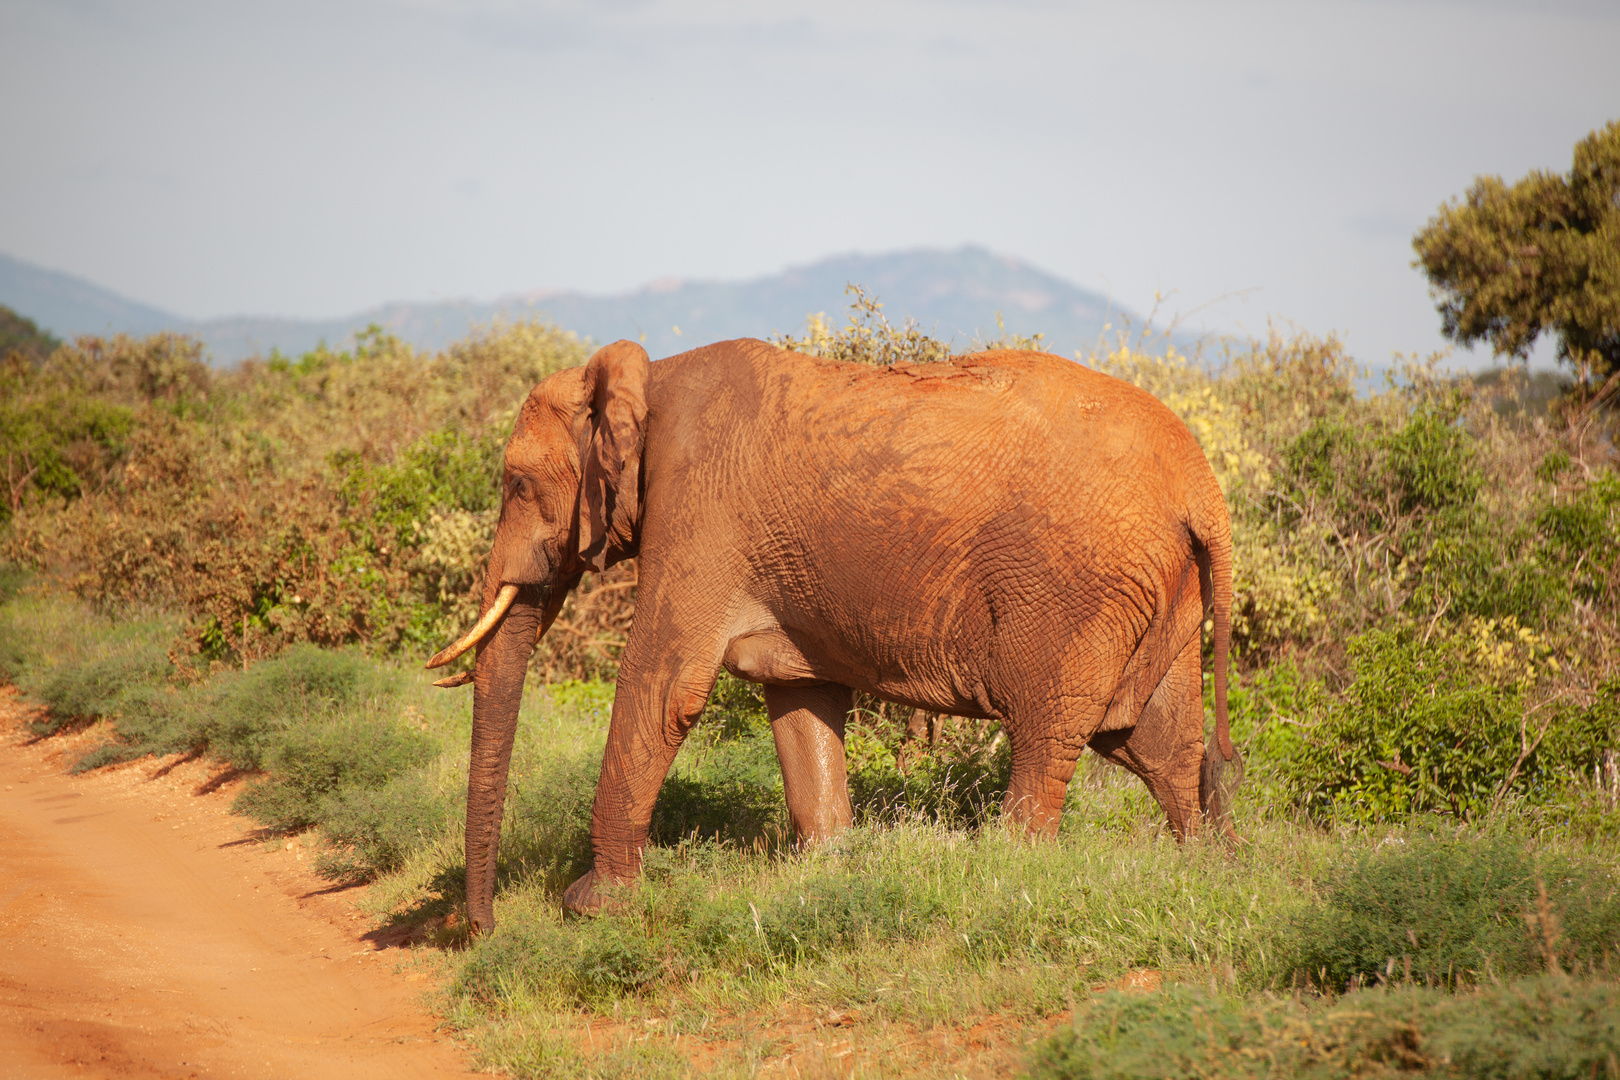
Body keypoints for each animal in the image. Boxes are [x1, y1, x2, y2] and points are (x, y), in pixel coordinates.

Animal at [430, 335, 1237, 932]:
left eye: (516, 484)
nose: (481, 929)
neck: (646, 377)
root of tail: (1202, 484)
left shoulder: (697, 511)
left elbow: (662, 687)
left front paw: (594, 909)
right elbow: (799, 697)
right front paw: (825, 873)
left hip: (1076, 593)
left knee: (1049, 735)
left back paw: (1009, 874)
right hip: (1160, 589)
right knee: (1154, 742)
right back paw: (1202, 872)